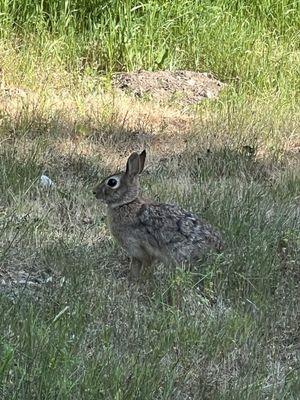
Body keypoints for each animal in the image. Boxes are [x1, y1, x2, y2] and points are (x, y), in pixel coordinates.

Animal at [92, 151, 224, 282]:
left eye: (112, 182)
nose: (94, 192)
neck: (126, 203)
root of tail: (218, 248)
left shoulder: (139, 248)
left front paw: (138, 280)